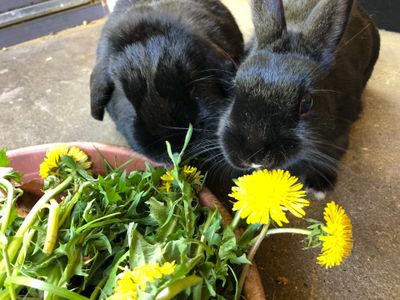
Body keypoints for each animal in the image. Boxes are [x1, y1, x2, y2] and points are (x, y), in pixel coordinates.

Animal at [217, 0, 380, 197]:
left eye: (306, 103)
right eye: (235, 87)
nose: (252, 155)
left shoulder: (339, 135)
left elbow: (332, 155)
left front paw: (319, 186)